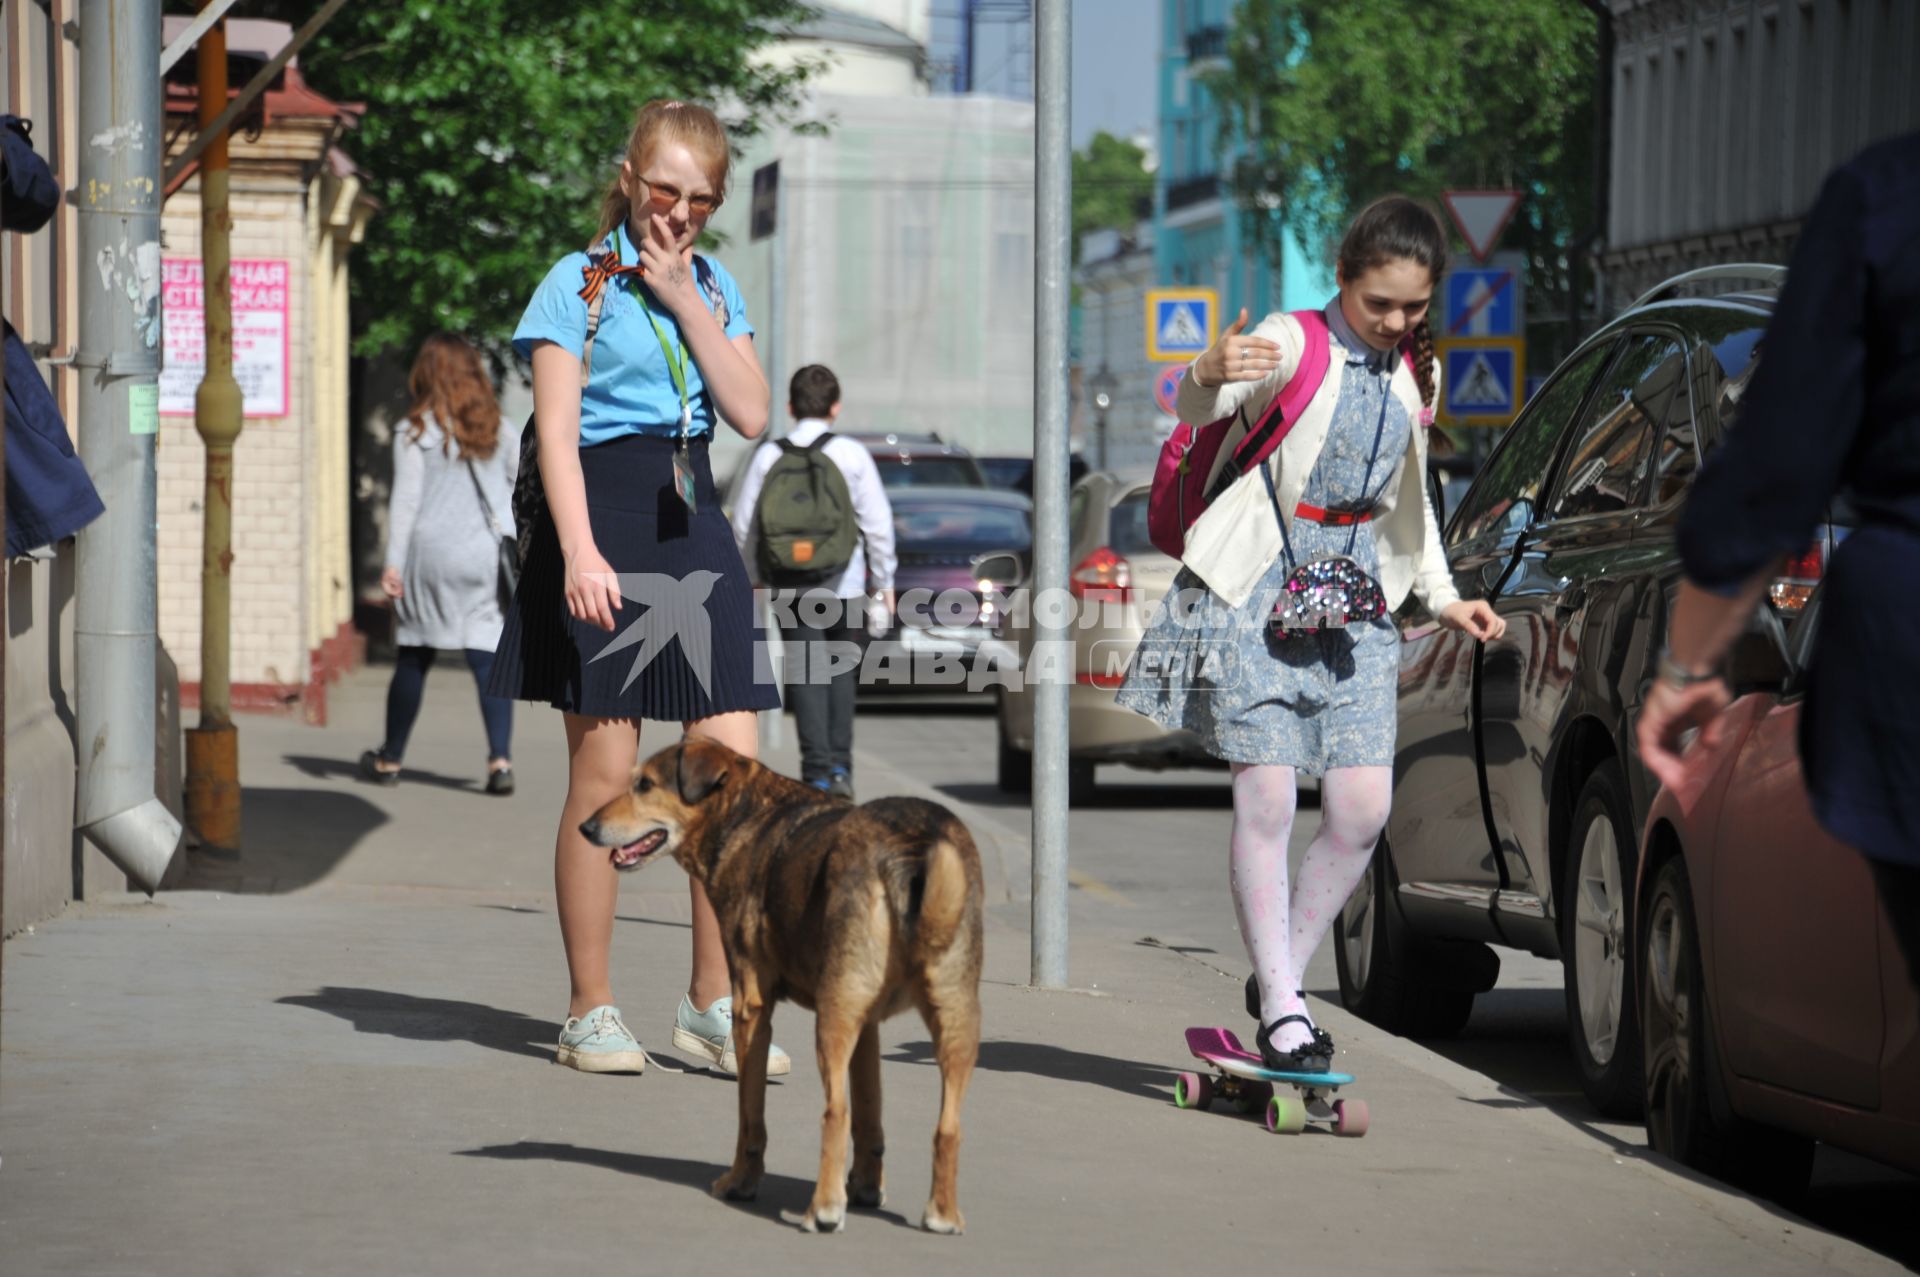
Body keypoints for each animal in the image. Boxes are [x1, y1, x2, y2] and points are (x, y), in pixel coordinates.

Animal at [576, 741, 983, 1228]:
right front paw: (866, 1186)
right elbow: (870, 1113)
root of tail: (910, 847)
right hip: (955, 1017)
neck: (745, 814)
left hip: (832, 1018)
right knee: (948, 1126)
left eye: (645, 785)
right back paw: (942, 1212)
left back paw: (823, 1209)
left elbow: (750, 1114)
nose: (586, 827)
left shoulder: (751, 1007)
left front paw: (740, 1182)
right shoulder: (867, 1023)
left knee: (835, 1112)